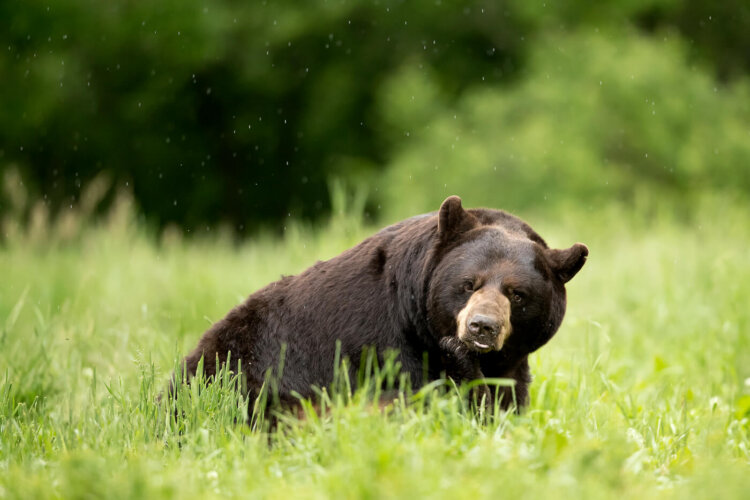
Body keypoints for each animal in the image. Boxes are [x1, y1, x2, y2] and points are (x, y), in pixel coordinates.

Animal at [174, 195, 588, 413]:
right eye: (468, 284)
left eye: (517, 294)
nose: (481, 326)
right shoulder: (381, 346)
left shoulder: (513, 363)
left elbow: (506, 399)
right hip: (239, 374)